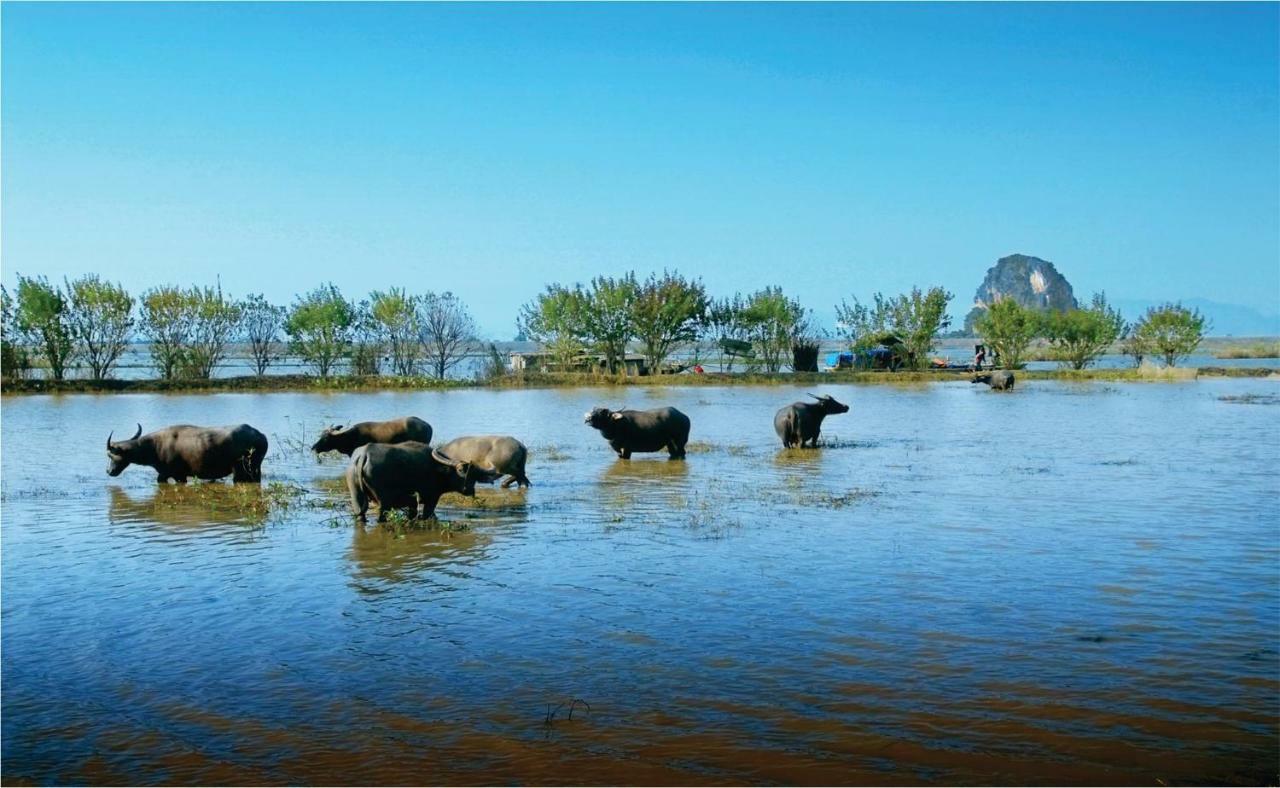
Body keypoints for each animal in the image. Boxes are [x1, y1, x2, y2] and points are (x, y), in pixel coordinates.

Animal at [106, 422, 270, 483]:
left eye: (110, 455)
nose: (109, 471)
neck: (155, 446)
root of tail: (260, 435)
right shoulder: (165, 474)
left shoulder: (178, 475)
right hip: (255, 470)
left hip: (240, 471)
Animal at [345, 442, 494, 524]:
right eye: (460, 470)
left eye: (475, 475)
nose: (469, 489)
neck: (437, 469)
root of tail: (364, 455)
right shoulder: (432, 497)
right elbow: (426, 513)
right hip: (385, 503)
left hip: (356, 496)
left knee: (360, 513)